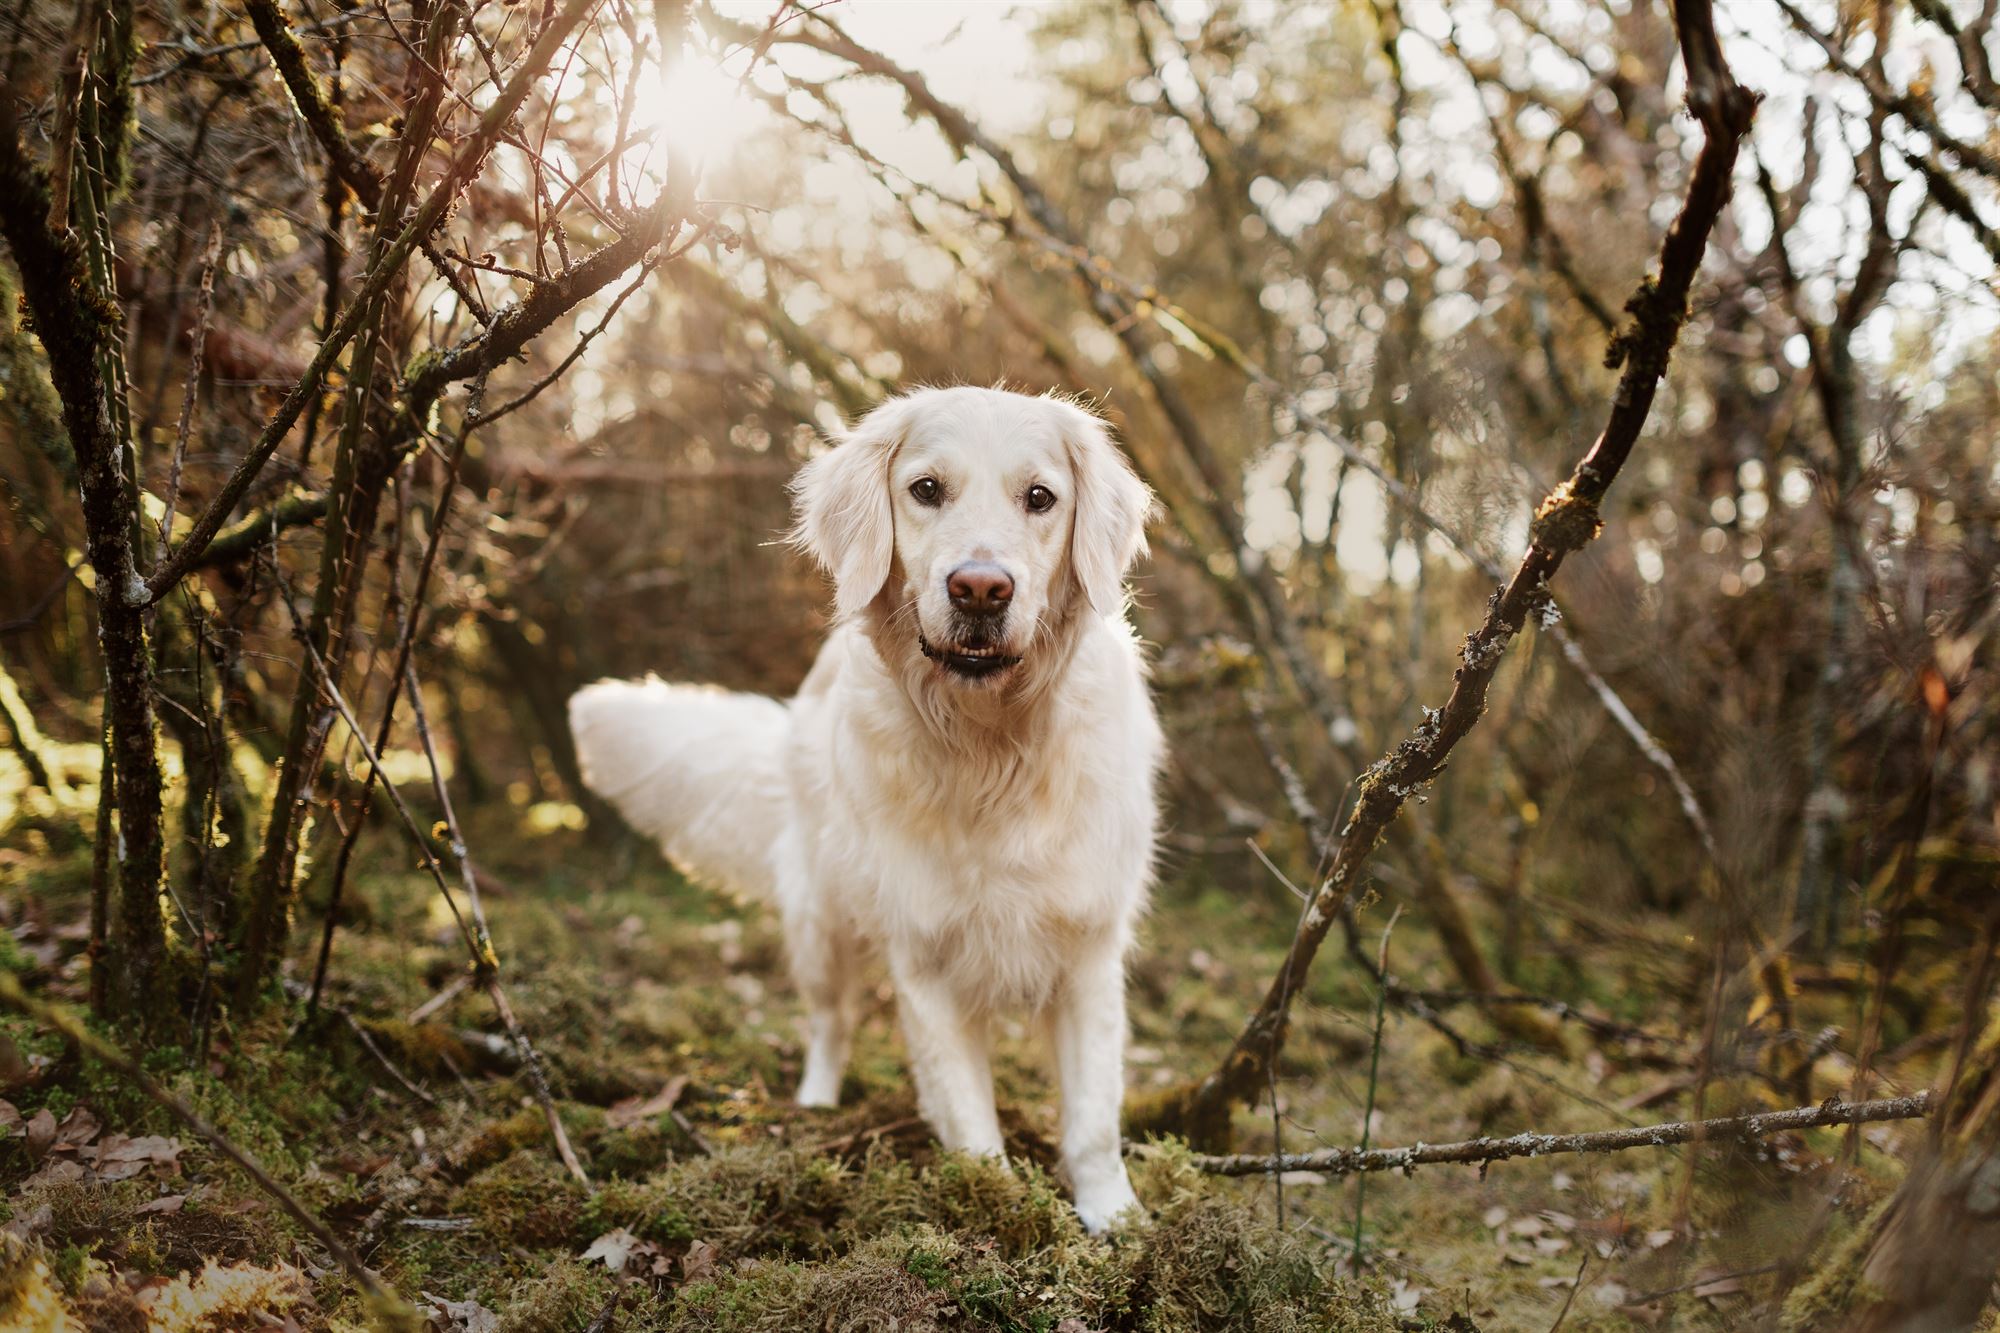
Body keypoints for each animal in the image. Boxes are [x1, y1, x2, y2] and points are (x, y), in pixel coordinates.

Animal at [568, 382, 1160, 1224]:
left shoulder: (1088, 945)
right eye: (926, 489)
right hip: (820, 921)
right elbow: (971, 1119)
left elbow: (1093, 1116)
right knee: (831, 1020)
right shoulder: (925, 956)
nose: (980, 588)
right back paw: (816, 1101)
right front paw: (996, 1208)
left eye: (1041, 497)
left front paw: (1115, 1217)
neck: (990, 749)